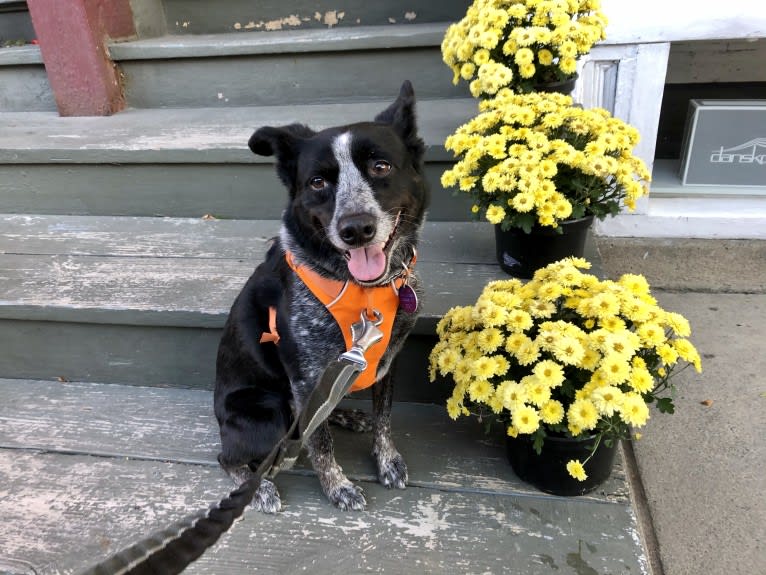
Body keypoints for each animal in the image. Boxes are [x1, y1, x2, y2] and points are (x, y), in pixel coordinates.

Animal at [216, 81, 428, 512]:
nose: (356, 228)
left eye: (381, 167)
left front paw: (387, 460)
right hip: (269, 411)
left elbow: (384, 417)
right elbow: (320, 443)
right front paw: (338, 486)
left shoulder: (387, 359)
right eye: (317, 182)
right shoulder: (306, 376)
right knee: (227, 457)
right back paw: (257, 488)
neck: (363, 290)